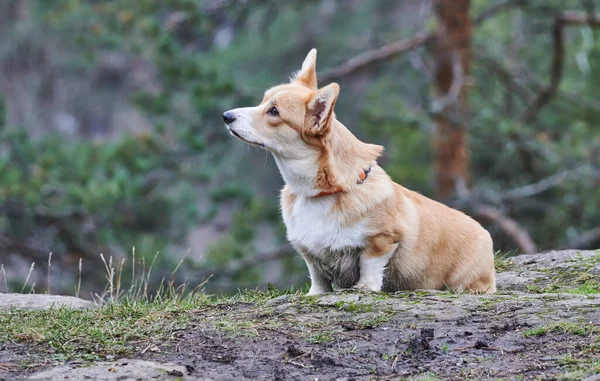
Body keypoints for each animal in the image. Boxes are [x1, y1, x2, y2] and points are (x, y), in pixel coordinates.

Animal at [223, 49, 494, 296]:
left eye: (274, 112)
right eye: (262, 101)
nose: (226, 116)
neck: (321, 193)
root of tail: (486, 236)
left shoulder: (382, 240)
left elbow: (370, 263)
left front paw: (365, 287)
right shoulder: (310, 253)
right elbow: (317, 275)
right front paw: (316, 293)